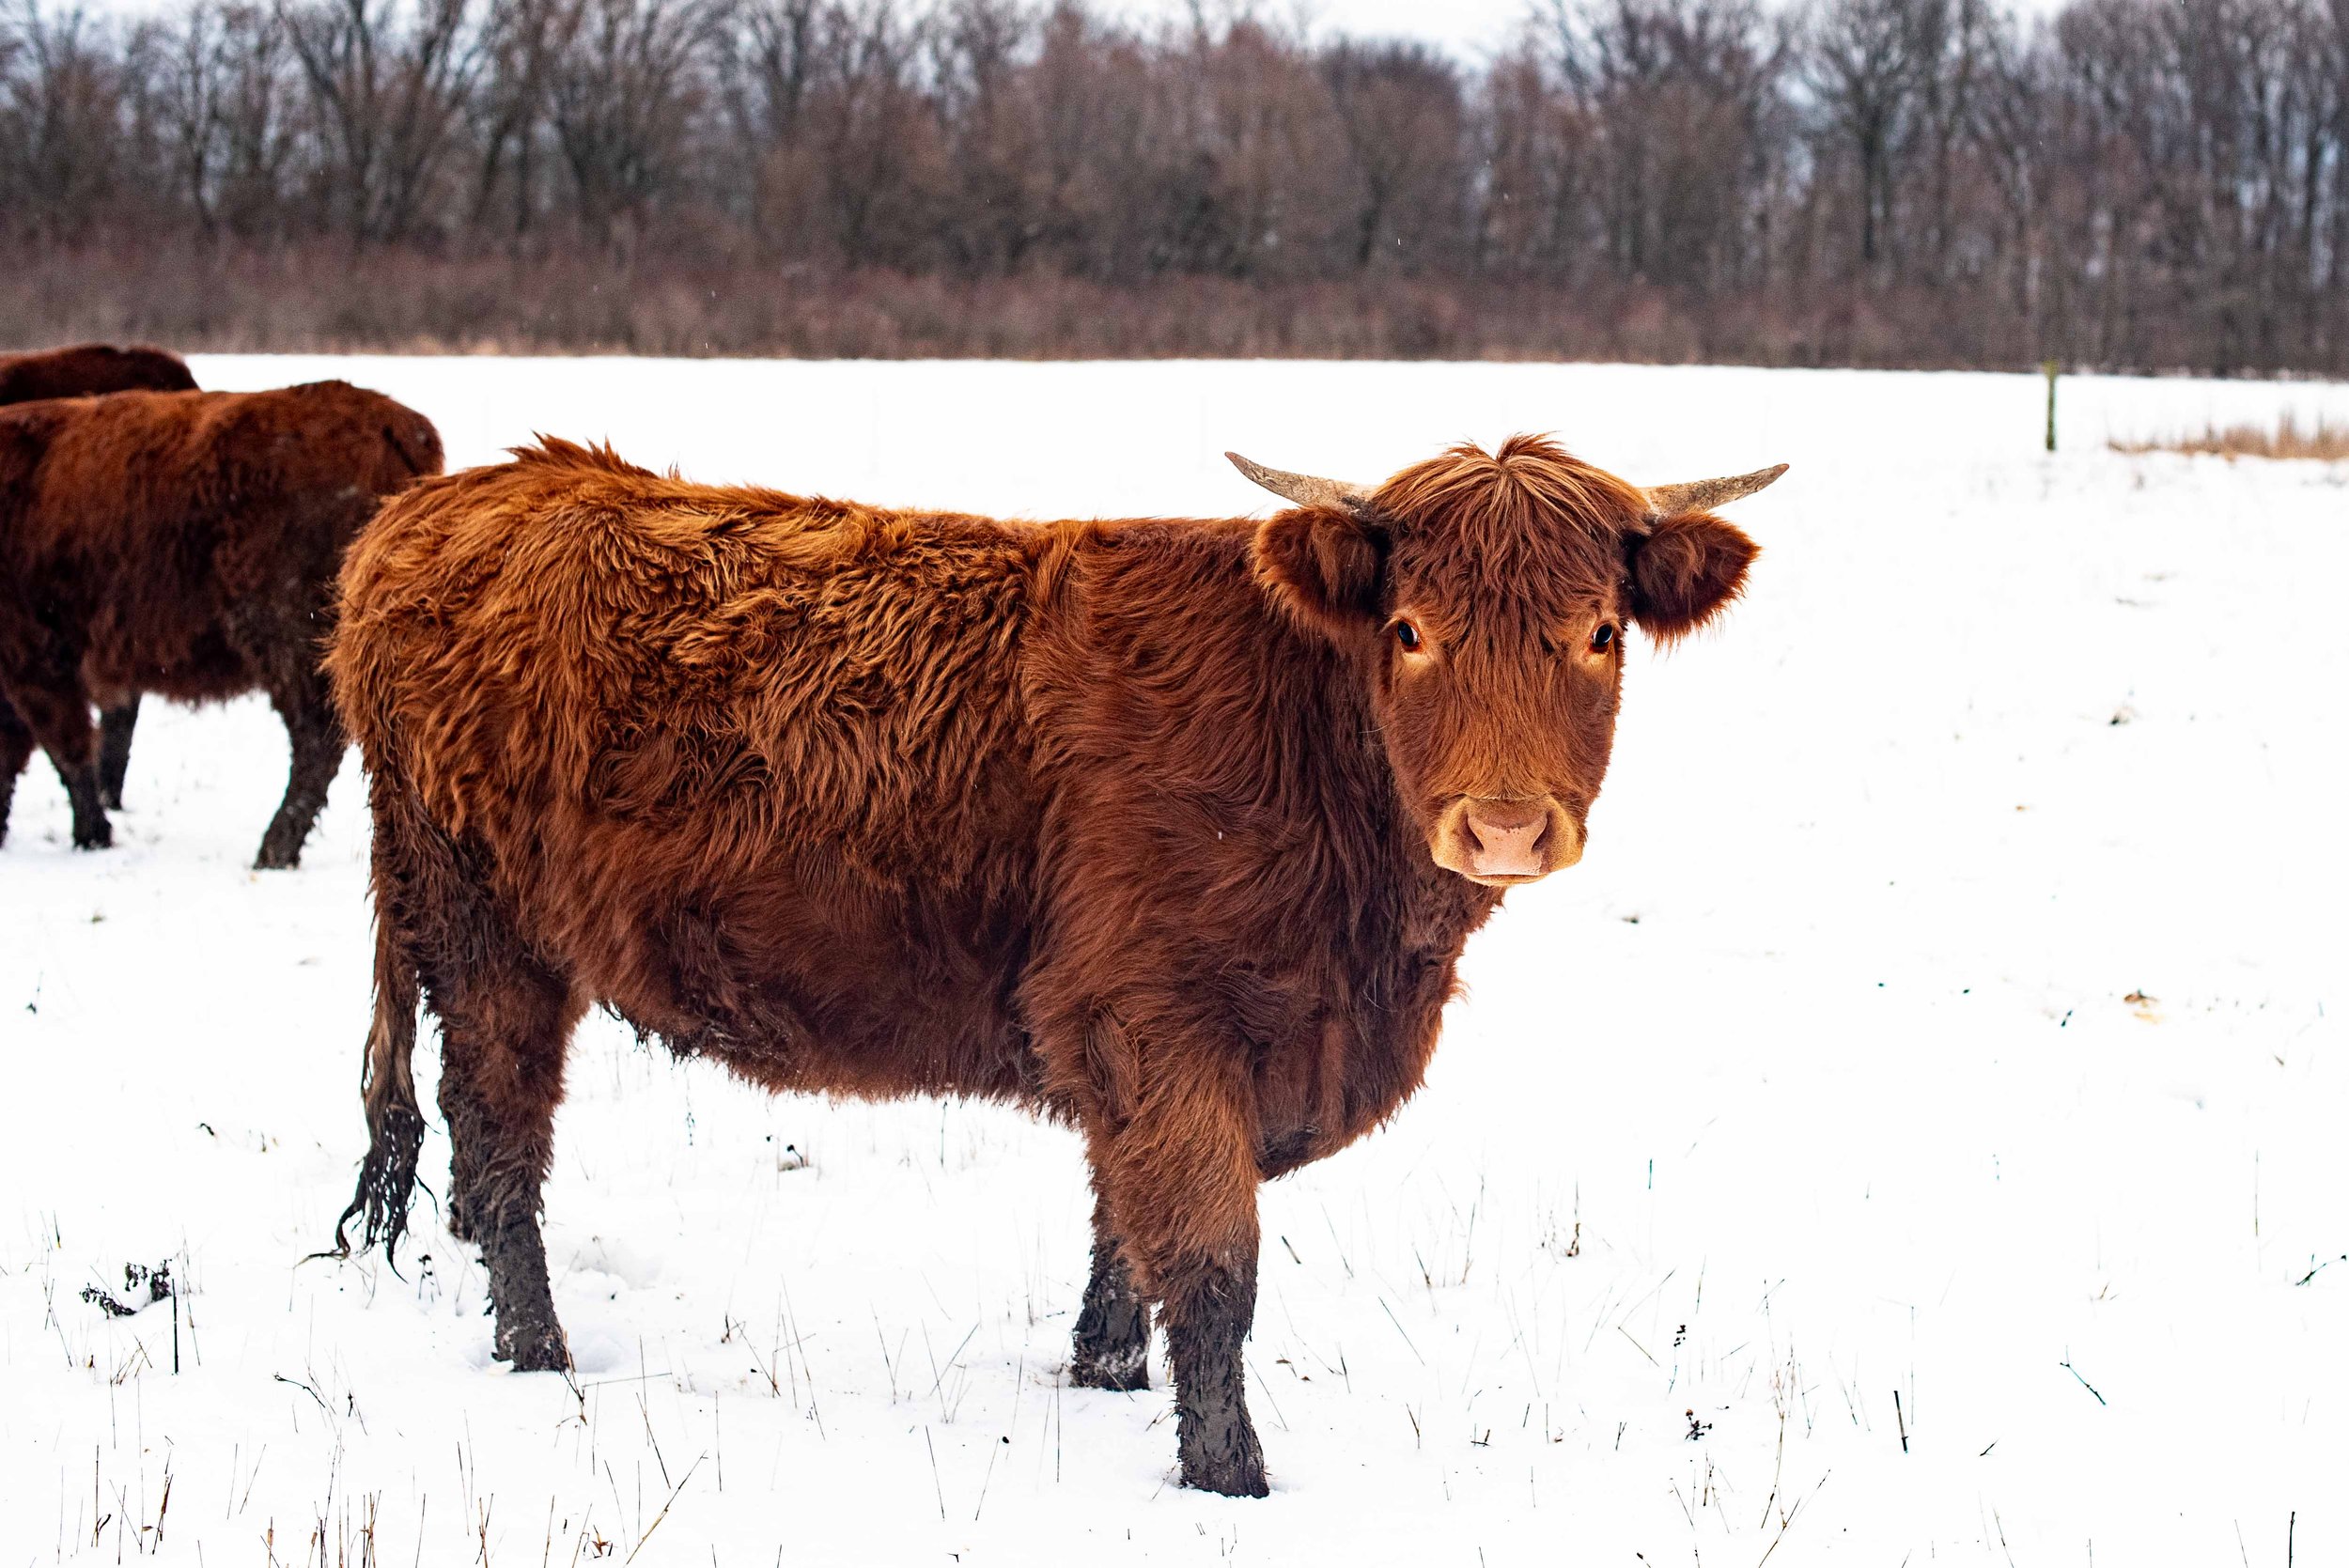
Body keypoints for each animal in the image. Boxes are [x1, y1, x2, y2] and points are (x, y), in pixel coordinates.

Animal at [331, 429, 1776, 1493]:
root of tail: (446, 503)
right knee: (499, 1130)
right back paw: (535, 1347)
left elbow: (1120, 1230)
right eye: (1410, 630)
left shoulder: (1147, 1045)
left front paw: (1102, 1374)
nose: (1507, 825)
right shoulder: (1159, 1021)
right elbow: (1210, 1265)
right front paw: (1230, 1476)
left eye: (1600, 633)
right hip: (488, 930)